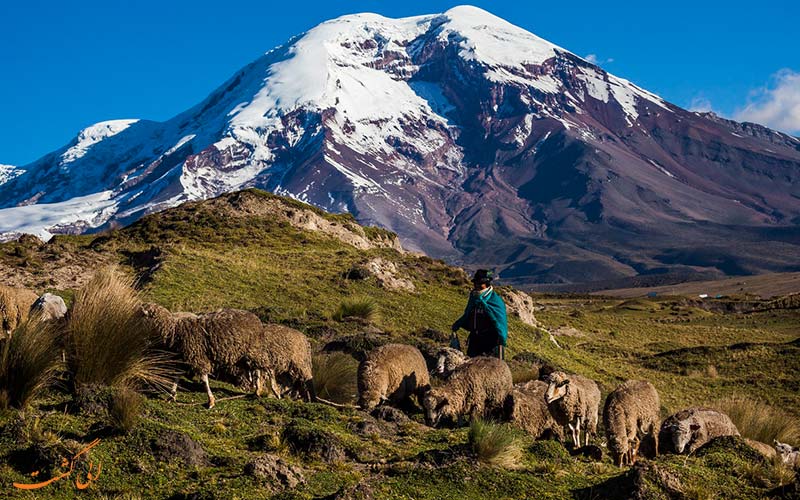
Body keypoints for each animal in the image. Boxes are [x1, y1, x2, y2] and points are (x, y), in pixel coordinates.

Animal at [139, 302, 274, 408]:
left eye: (142, 315)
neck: (173, 330)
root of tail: (255, 318)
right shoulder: (182, 359)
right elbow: (176, 377)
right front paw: (172, 395)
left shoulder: (197, 357)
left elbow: (204, 380)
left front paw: (211, 400)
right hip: (243, 355)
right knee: (256, 369)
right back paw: (257, 389)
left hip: (254, 350)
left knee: (268, 368)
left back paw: (273, 390)